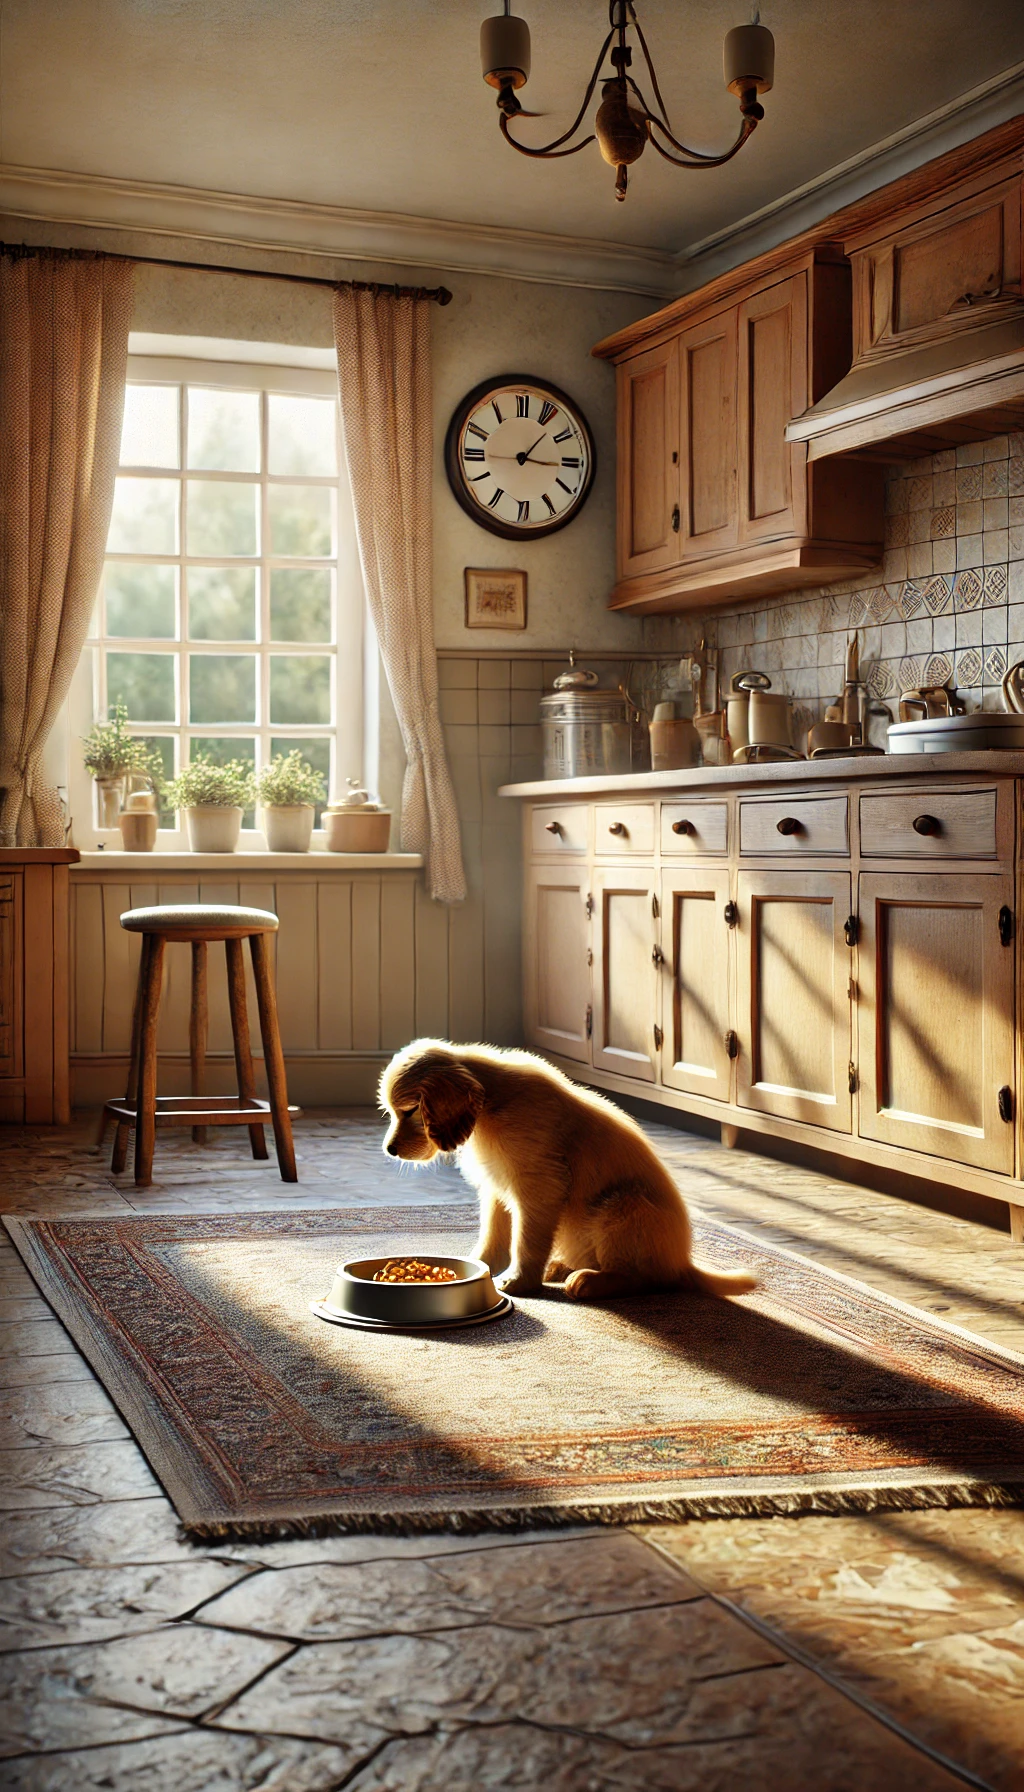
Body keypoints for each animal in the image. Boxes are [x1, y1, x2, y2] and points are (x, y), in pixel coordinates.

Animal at [380, 1039, 756, 1304]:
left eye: (411, 1111)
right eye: (393, 1112)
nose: (390, 1150)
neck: (494, 1103)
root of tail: (683, 1264)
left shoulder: (539, 1185)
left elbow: (526, 1239)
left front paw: (518, 1280)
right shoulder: (497, 1187)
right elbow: (494, 1235)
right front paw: (478, 1266)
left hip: (622, 1205)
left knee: (648, 1278)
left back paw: (589, 1281)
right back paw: (562, 1266)